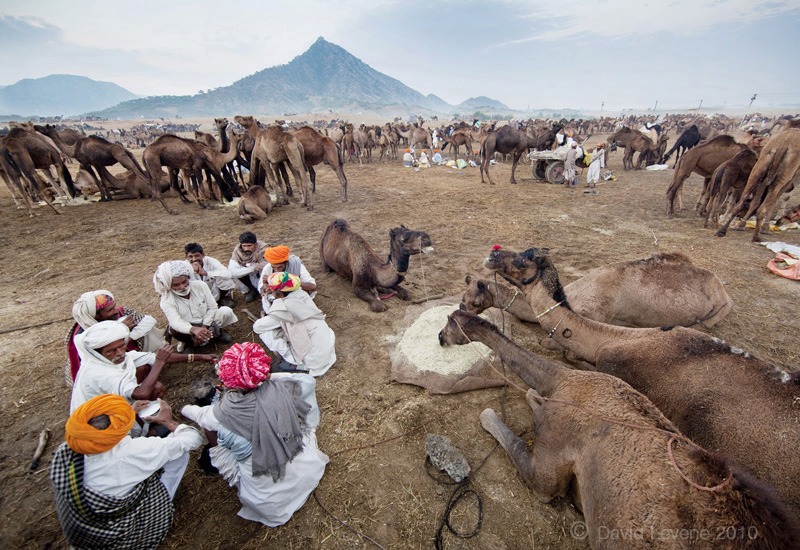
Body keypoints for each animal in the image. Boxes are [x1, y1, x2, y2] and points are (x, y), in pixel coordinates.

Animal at [438, 310, 800, 550]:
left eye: (450, 324)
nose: (439, 338)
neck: (566, 381)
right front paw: (531, 397)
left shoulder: (551, 461)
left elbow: (530, 464)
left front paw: (489, 414)